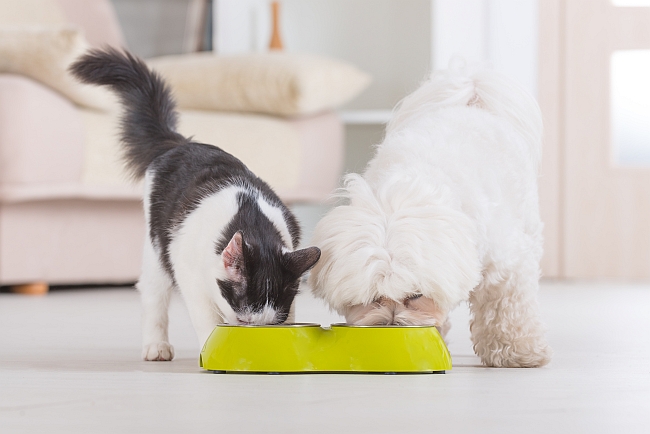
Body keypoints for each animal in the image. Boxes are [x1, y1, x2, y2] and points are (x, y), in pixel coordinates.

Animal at [70, 47, 318, 362]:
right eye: (242, 321)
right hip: (157, 246)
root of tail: (180, 143)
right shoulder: (190, 273)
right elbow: (205, 318)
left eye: (270, 326)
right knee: (153, 291)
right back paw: (156, 346)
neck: (252, 220)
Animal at [306, 61, 548, 366]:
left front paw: (517, 352)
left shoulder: (505, 264)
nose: (391, 326)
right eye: (373, 298)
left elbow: (507, 306)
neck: (406, 189)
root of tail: (469, 92)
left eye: (416, 295)